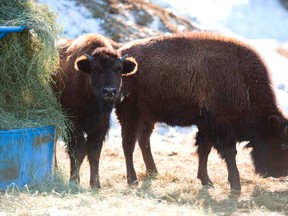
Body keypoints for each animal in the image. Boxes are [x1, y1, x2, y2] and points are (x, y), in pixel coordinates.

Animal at [53, 33, 138, 188]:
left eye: (119, 69)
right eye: (94, 69)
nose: (109, 91)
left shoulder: (101, 125)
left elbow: (94, 152)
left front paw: (95, 184)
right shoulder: (73, 123)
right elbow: (78, 150)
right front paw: (74, 181)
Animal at [116, 31, 288, 191]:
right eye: (282, 145)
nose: (280, 173)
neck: (242, 82)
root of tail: (120, 53)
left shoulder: (206, 127)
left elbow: (204, 151)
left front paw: (207, 181)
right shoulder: (220, 126)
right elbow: (228, 153)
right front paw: (235, 186)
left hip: (148, 117)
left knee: (143, 139)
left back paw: (153, 171)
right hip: (129, 114)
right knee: (128, 144)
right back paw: (133, 179)